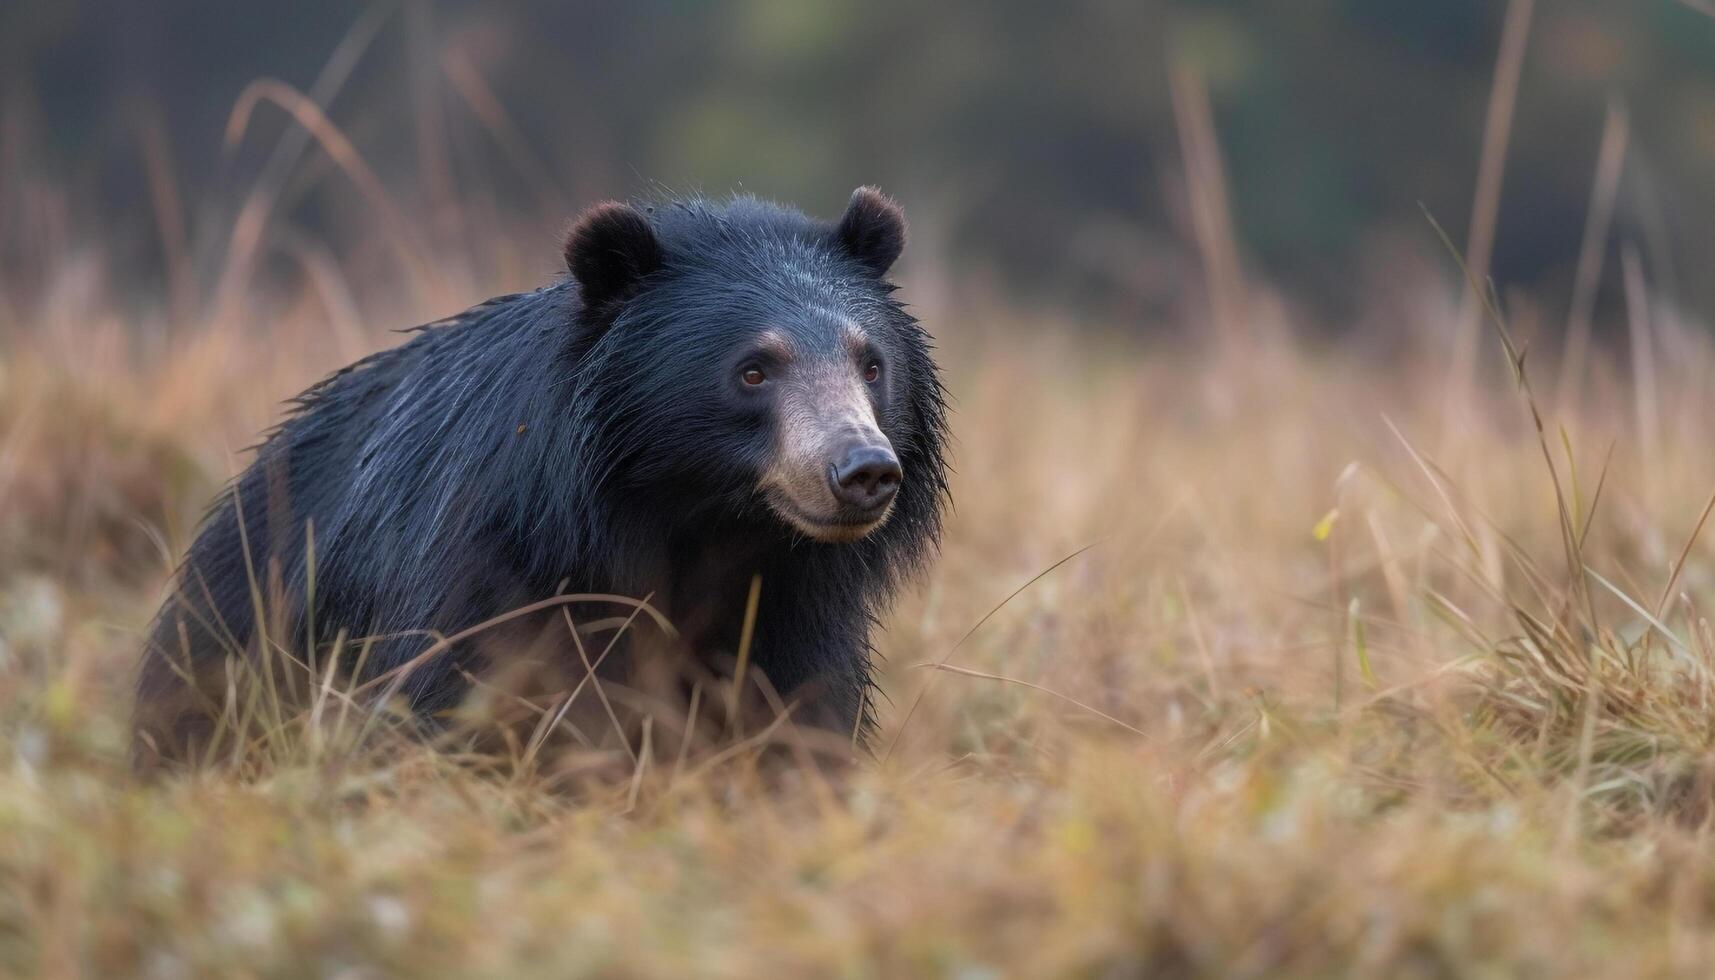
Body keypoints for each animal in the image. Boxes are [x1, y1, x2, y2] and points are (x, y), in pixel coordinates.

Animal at [133, 189, 953, 775]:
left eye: (870, 364)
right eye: (753, 370)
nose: (862, 470)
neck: (696, 519)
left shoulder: (796, 609)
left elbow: (802, 723)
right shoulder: (495, 572)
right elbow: (468, 704)